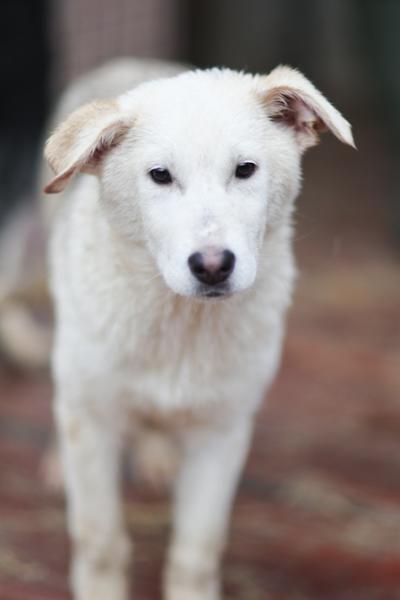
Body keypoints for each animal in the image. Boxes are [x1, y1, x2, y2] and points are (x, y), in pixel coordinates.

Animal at [43, 58, 354, 600]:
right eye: (160, 176)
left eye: (245, 169)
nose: (212, 266)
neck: (182, 321)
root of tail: (132, 62)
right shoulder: (93, 420)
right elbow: (101, 541)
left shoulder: (223, 429)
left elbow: (196, 552)